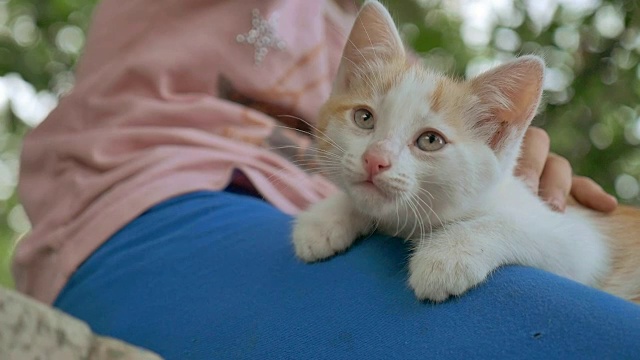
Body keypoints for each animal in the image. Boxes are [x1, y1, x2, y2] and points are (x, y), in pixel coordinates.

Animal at [292, 0, 640, 304]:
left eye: (430, 140)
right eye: (364, 118)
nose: (375, 159)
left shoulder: (579, 239)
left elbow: (515, 226)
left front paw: (447, 255)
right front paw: (326, 218)